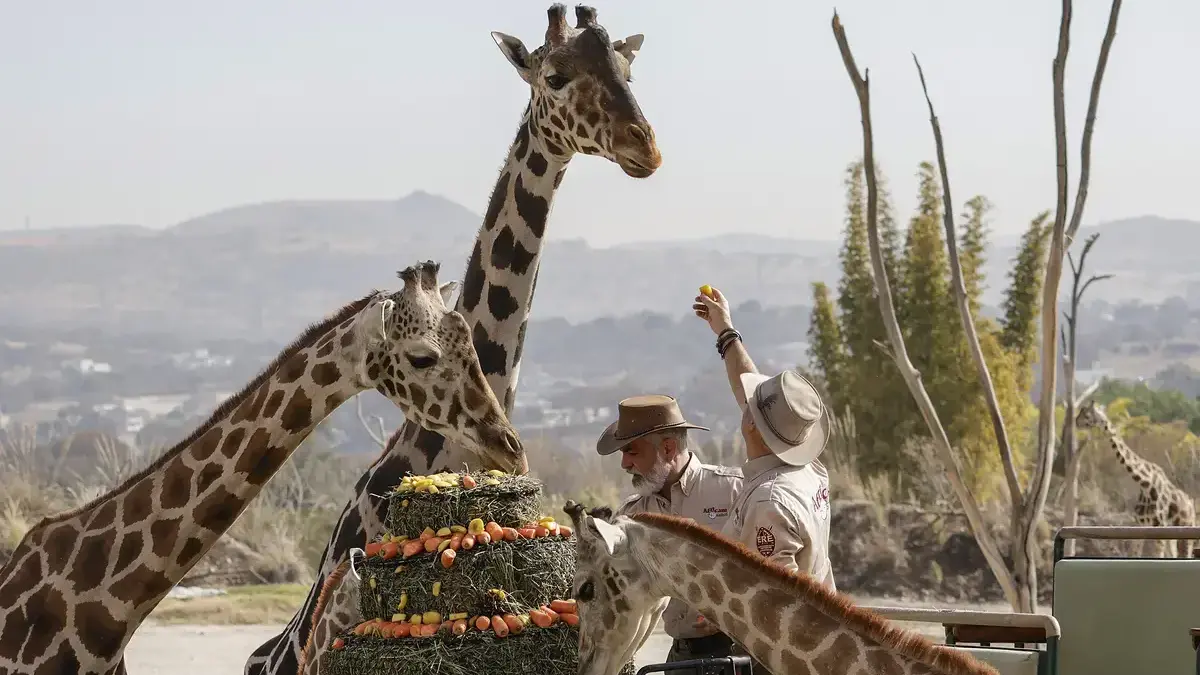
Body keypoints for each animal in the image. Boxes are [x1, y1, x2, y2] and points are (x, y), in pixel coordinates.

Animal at [1075, 401, 1195, 554]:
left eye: (1087, 415)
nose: (1076, 422)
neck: (1145, 484)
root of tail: (1191, 504)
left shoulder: (1159, 525)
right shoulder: (1141, 524)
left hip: (1186, 529)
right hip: (1172, 536)